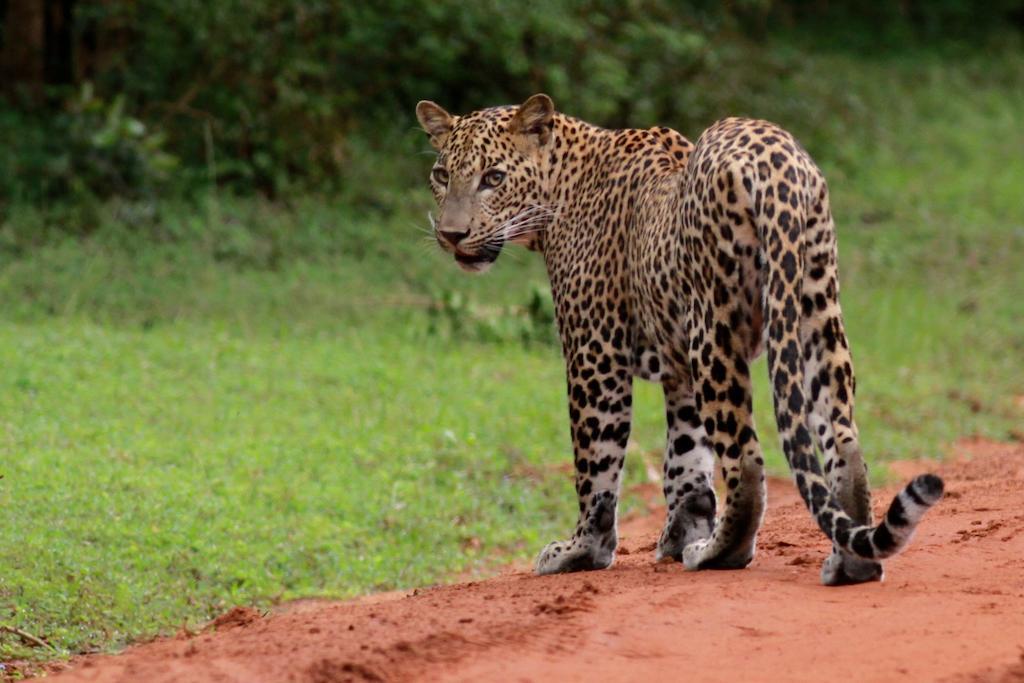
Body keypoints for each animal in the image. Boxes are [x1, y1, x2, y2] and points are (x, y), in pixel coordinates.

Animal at [415, 93, 942, 585]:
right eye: (441, 174)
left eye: (493, 177)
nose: (452, 234)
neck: (561, 187)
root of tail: (775, 162)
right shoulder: (678, 368)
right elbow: (686, 460)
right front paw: (681, 532)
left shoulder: (595, 353)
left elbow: (596, 463)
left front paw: (582, 550)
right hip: (816, 312)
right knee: (842, 439)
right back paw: (849, 563)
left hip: (715, 327)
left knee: (746, 456)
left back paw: (720, 553)